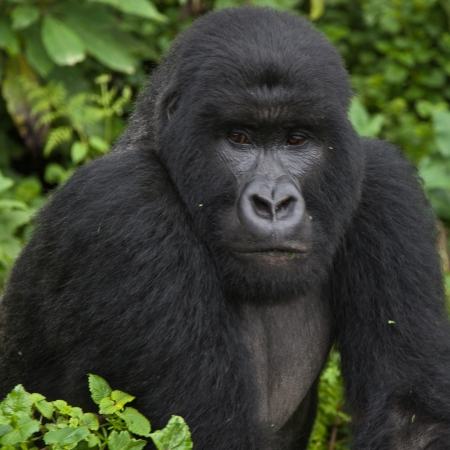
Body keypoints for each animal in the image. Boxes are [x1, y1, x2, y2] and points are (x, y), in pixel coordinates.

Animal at [0, 7, 450, 450]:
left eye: (296, 139)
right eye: (239, 137)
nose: (273, 203)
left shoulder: (384, 183)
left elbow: (411, 419)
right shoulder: (122, 204)